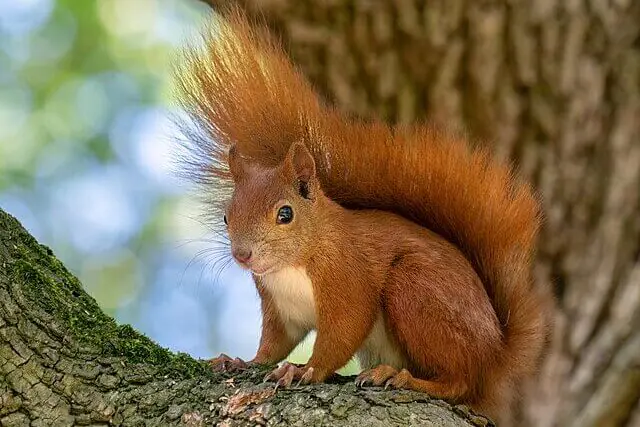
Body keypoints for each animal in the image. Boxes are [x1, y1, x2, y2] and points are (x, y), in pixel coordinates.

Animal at [175, 6, 552, 421]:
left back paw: (405, 379)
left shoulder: (348, 276)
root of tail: (493, 355)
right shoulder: (279, 307)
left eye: (285, 214)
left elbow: (344, 329)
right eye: (226, 217)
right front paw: (241, 361)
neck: (294, 263)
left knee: (458, 382)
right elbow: (275, 343)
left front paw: (304, 370)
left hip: (416, 291)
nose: (243, 255)